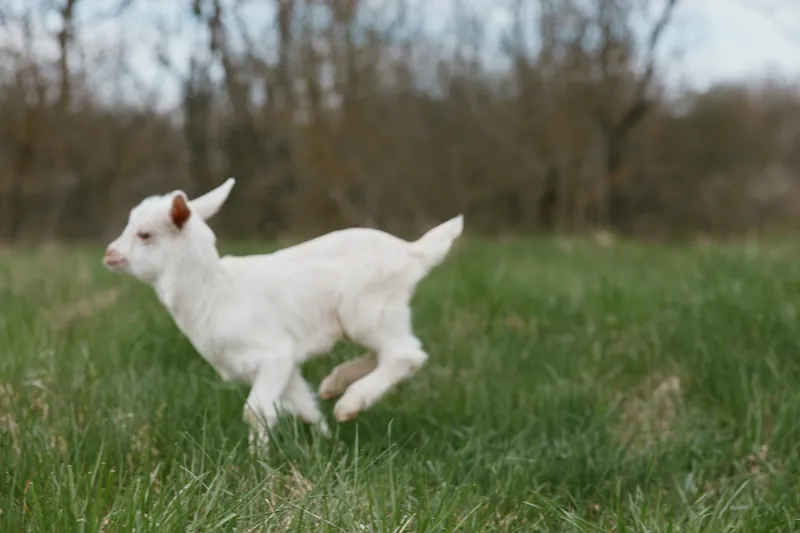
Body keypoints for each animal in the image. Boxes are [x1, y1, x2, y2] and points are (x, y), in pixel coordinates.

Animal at [103, 178, 463, 451]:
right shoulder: (283, 364)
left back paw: (350, 403)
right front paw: (327, 444)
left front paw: (257, 463)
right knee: (388, 351)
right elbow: (303, 406)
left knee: (406, 354)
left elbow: (256, 412)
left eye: (145, 234)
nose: (109, 255)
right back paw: (334, 383)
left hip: (369, 309)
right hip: (376, 315)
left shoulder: (273, 353)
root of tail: (413, 253)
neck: (217, 292)